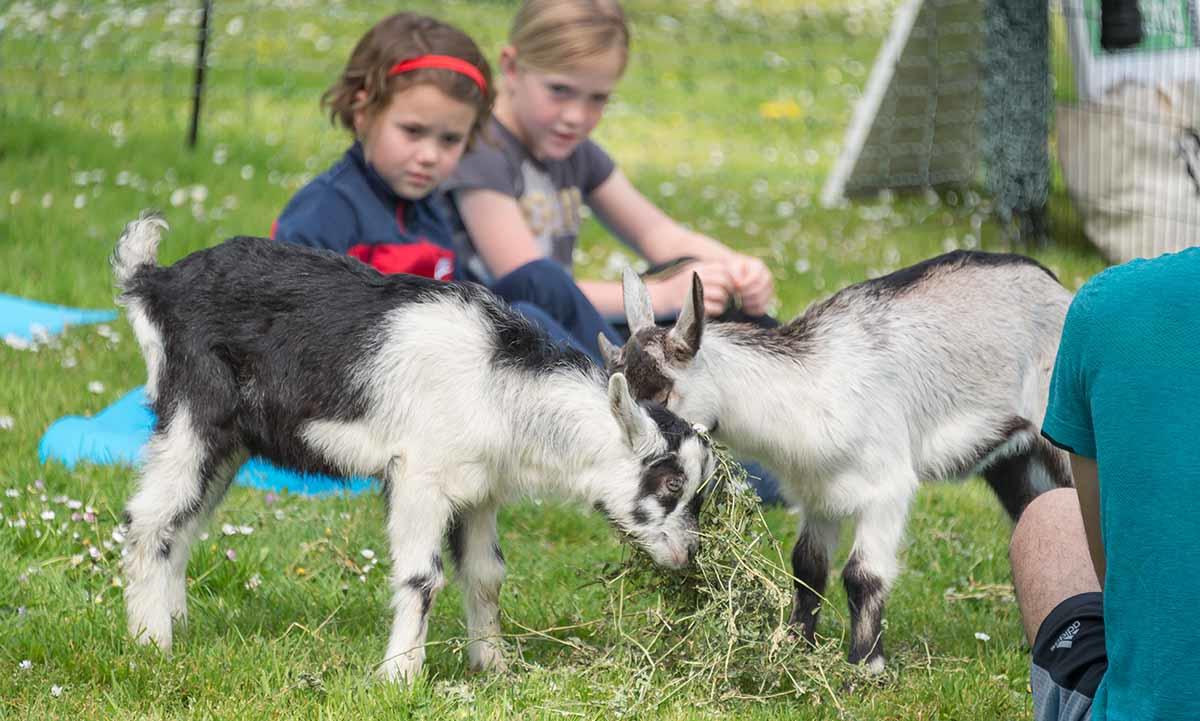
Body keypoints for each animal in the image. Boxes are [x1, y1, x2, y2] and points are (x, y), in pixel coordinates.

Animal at [110, 213, 710, 681]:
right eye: (670, 483)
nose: (687, 557)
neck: (498, 383)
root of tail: (155, 281)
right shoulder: (420, 476)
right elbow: (423, 576)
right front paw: (399, 674)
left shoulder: (480, 490)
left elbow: (487, 573)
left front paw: (493, 666)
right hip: (193, 413)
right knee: (148, 520)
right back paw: (150, 645)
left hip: (230, 444)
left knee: (184, 523)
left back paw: (175, 626)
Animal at [604, 251, 1075, 667]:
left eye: (663, 393)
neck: (813, 387)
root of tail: (1058, 287)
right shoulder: (818, 495)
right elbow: (807, 567)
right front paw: (796, 645)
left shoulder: (888, 488)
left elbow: (863, 574)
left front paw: (864, 666)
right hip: (1011, 458)